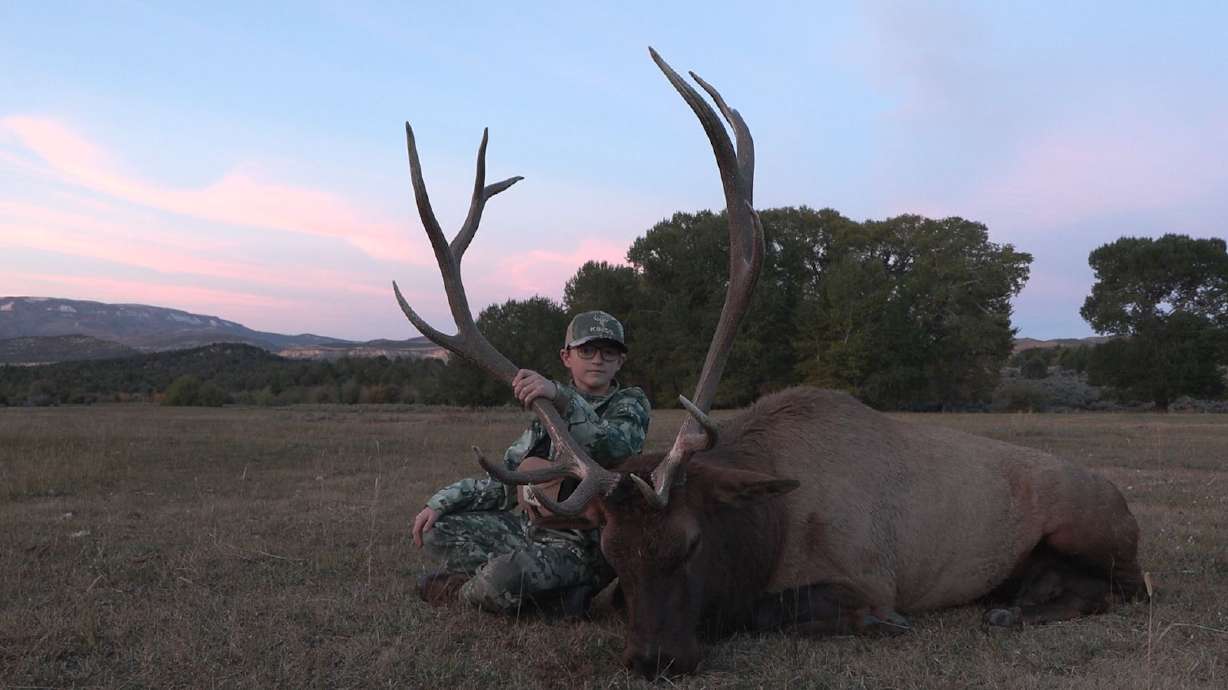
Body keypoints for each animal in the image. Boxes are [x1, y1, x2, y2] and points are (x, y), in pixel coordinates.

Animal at [394, 47, 1147, 679]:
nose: (656, 660)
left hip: (1093, 527)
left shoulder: (869, 575)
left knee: (1124, 589)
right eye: (611, 551)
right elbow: (599, 600)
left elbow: (774, 610)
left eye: (691, 543)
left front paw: (880, 624)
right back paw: (1012, 603)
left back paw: (1014, 610)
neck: (771, 524)